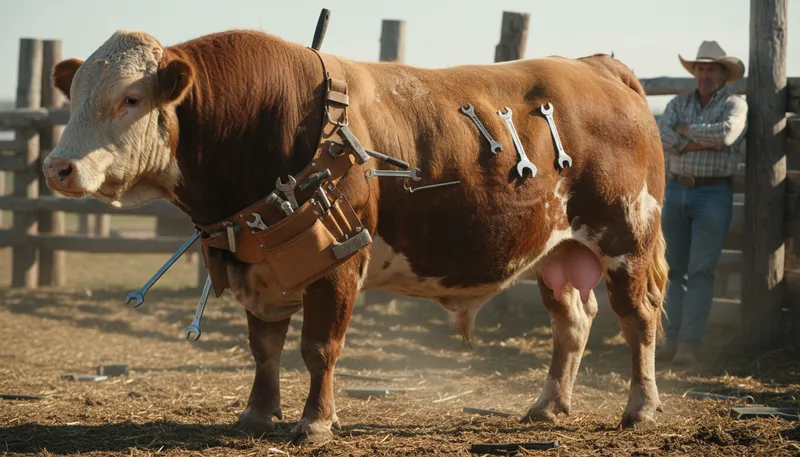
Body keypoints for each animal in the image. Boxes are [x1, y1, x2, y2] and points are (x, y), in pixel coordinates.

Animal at [42, 27, 668, 445]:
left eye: (130, 98)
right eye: (75, 98)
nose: (57, 168)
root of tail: (598, 67)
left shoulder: (336, 263)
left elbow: (319, 348)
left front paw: (315, 422)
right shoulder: (259, 264)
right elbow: (264, 348)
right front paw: (256, 414)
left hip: (627, 235)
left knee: (637, 319)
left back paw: (640, 408)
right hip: (557, 251)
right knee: (573, 320)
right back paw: (548, 405)